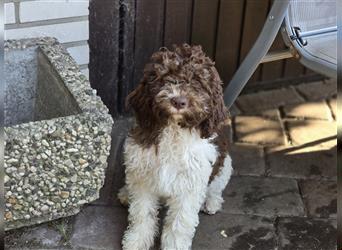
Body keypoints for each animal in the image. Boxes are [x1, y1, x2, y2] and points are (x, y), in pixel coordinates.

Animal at [117, 44, 232, 249]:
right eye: (165, 77)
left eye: (197, 82)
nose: (179, 101)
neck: (174, 129)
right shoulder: (142, 175)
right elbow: (142, 213)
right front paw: (137, 240)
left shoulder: (191, 184)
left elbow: (180, 222)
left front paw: (174, 245)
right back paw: (125, 193)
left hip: (225, 166)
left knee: (216, 187)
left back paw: (211, 202)